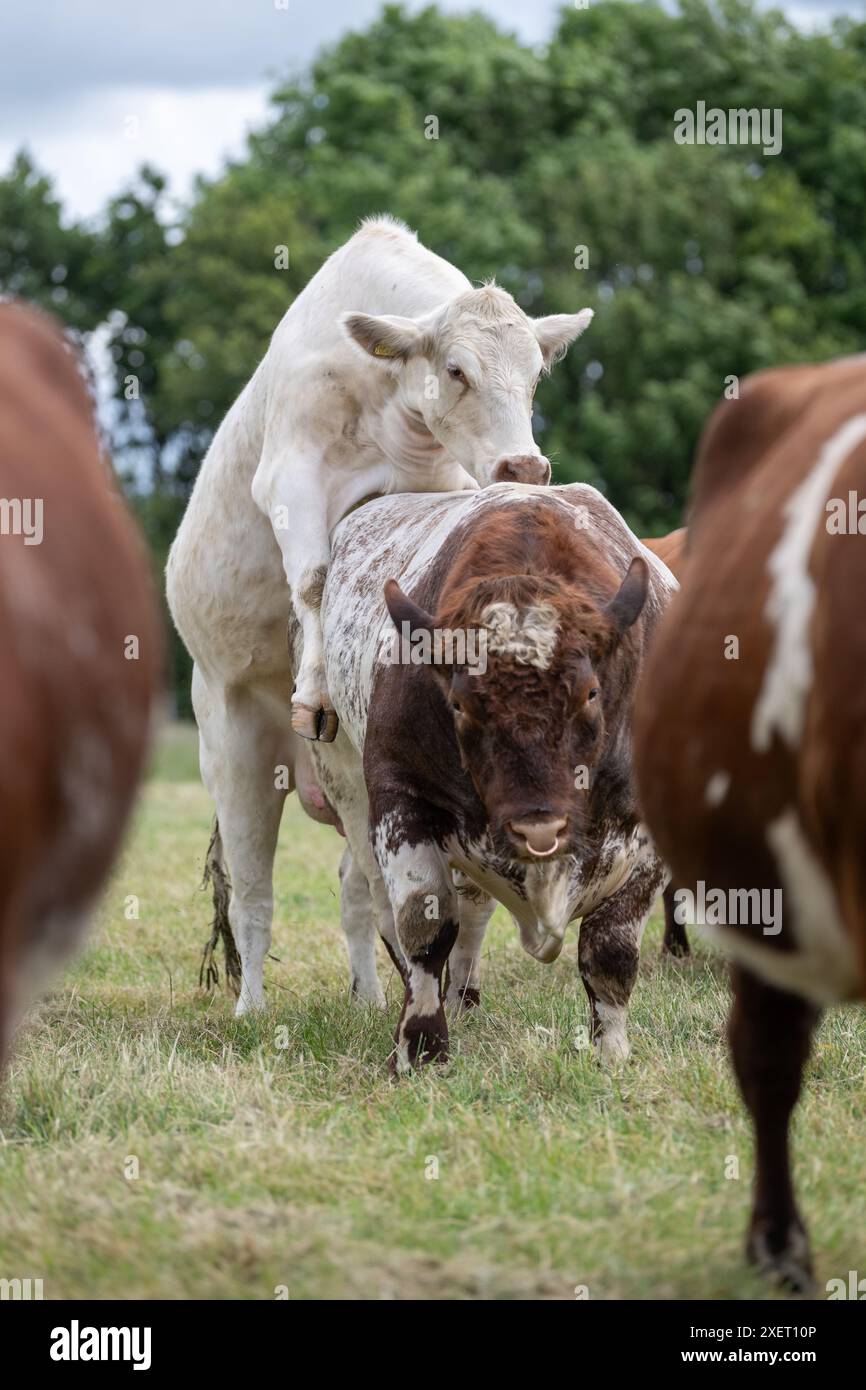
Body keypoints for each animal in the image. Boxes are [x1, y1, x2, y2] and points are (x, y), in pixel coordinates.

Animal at [167, 215, 592, 1013]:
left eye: (535, 373)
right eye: (456, 370)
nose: (525, 467)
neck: (385, 401)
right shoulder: (291, 476)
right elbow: (311, 576)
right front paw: (313, 685)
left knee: (357, 892)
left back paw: (368, 994)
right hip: (234, 738)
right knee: (253, 894)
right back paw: (251, 1008)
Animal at [285, 481, 676, 1074]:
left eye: (590, 692)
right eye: (460, 703)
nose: (537, 829)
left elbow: (610, 947)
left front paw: (611, 1052)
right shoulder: (401, 796)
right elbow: (424, 926)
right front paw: (420, 1046)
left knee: (473, 909)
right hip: (348, 790)